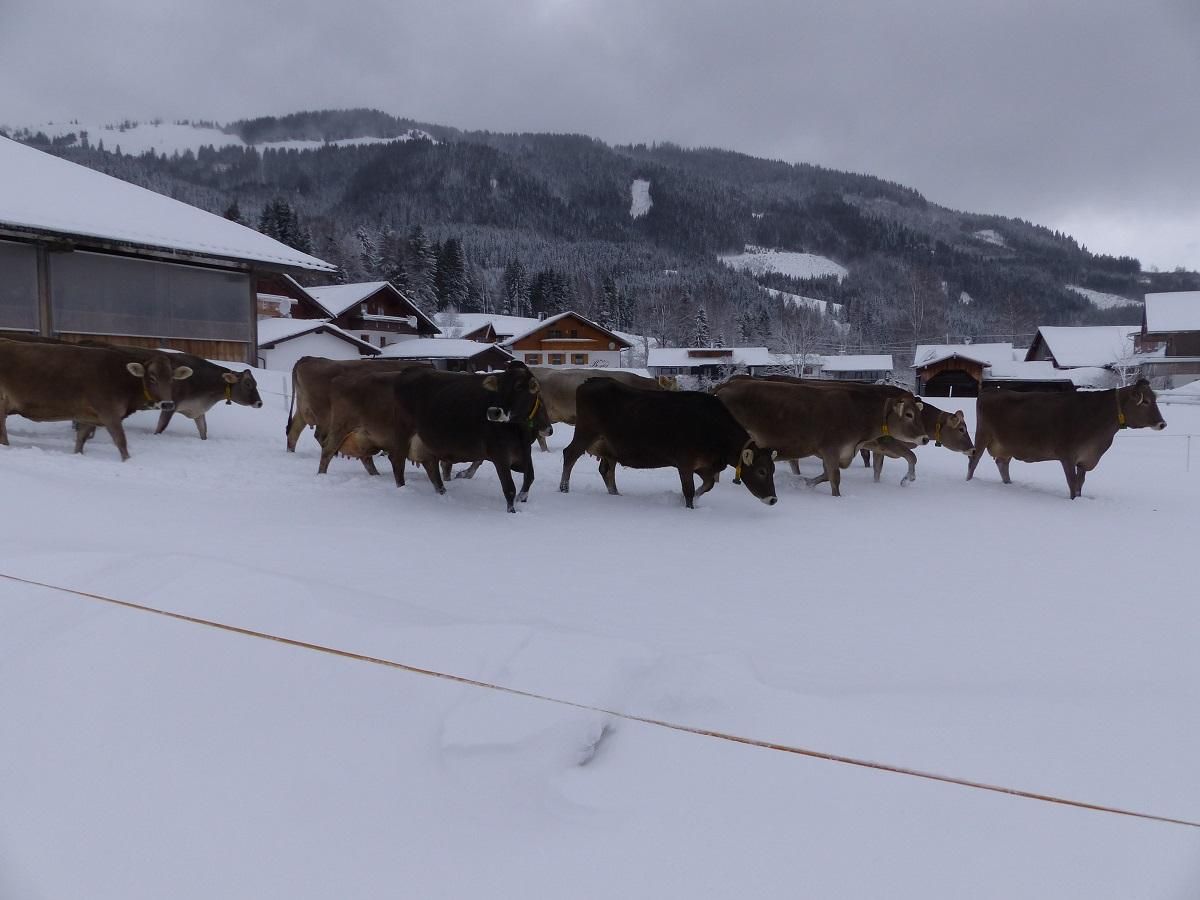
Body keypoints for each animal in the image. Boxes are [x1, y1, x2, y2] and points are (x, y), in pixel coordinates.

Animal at [0, 339, 192, 460]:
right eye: (152, 378)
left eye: (172, 379)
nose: (167, 404)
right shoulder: (109, 413)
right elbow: (121, 441)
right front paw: (128, 461)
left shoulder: (88, 416)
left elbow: (81, 439)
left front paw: (77, 455)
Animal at [319, 361, 544, 512]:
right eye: (499, 386)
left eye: (519, 387)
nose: (494, 412)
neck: (518, 430)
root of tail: (409, 372)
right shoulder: (499, 454)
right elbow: (509, 488)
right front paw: (512, 511)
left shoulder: (525, 452)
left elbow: (530, 477)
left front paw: (523, 498)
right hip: (397, 433)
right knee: (395, 461)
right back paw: (402, 489)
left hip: (423, 441)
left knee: (431, 467)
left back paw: (442, 493)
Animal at [559, 378, 779, 508]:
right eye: (761, 471)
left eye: (772, 470)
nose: (773, 499)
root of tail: (589, 381)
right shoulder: (685, 462)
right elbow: (688, 490)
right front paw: (689, 505)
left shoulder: (704, 464)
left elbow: (707, 485)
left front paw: (695, 499)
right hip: (586, 432)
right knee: (570, 454)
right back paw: (564, 489)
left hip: (609, 447)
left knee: (606, 470)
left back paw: (615, 495)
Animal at [711, 377, 927, 496]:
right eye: (909, 414)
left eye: (919, 412)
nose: (924, 438)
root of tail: (726, 385)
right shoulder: (831, 449)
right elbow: (834, 478)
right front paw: (837, 498)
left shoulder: (835, 452)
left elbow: (824, 476)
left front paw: (806, 483)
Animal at [966, 379, 1166, 499]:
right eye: (1145, 401)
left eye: (1154, 399)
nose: (1162, 423)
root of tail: (989, 390)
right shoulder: (1068, 456)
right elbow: (1072, 483)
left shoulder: (1085, 459)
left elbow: (1080, 484)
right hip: (982, 436)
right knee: (973, 462)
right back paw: (969, 483)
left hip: (1006, 445)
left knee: (1002, 463)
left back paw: (1008, 484)